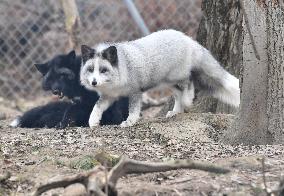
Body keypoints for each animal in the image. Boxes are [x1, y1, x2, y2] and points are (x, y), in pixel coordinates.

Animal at [80, 29, 240, 127]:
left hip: (177, 76)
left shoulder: (135, 91)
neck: (124, 67)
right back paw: (176, 111)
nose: (94, 82)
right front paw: (92, 122)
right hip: (169, 83)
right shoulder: (110, 96)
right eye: (90, 70)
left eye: (103, 70)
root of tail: (188, 39)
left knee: (189, 82)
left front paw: (130, 121)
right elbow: (97, 107)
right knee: (179, 95)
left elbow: (133, 109)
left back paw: (188, 100)